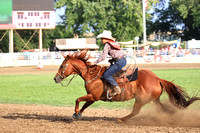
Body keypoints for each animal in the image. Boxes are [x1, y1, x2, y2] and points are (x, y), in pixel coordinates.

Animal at [53, 50, 200, 122]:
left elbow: (78, 99)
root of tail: (157, 79)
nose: (55, 78)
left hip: (140, 100)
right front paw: (77, 114)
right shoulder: (93, 97)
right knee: (164, 110)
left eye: (62, 66)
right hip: (154, 100)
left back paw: (121, 119)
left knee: (136, 111)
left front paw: (76, 113)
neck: (92, 75)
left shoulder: (93, 96)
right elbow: (84, 105)